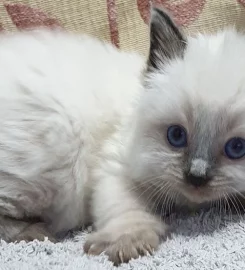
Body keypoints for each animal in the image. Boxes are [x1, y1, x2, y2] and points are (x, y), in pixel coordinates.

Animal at [0, 6, 245, 266]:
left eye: (236, 148)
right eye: (177, 135)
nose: (196, 177)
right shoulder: (116, 167)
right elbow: (127, 212)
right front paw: (128, 244)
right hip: (48, 170)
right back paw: (33, 232)